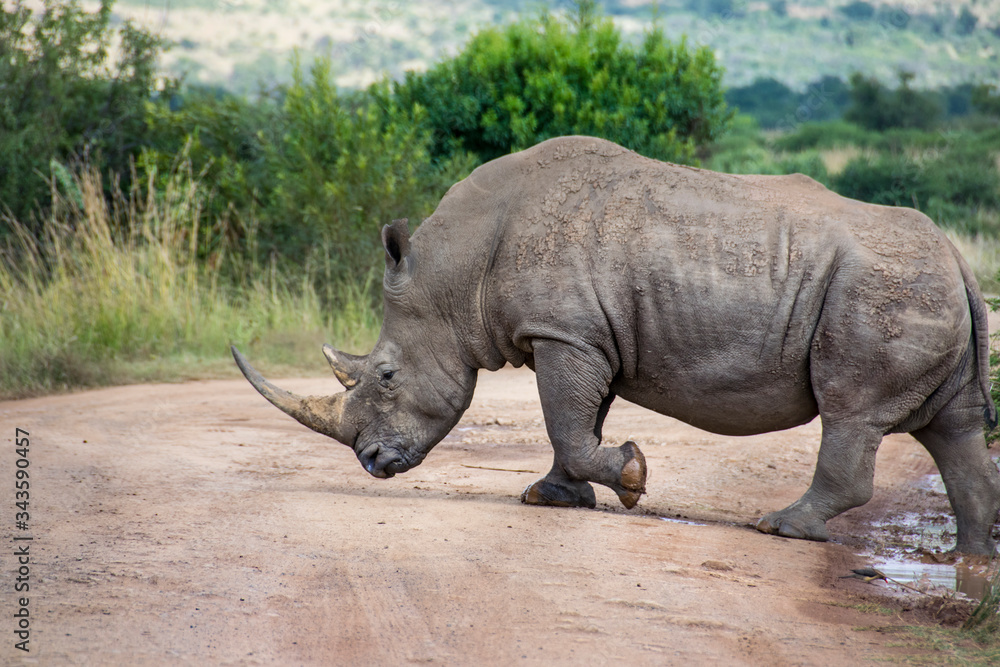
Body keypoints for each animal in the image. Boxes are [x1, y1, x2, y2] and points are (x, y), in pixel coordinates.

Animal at [232, 136, 1000, 554]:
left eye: (387, 375)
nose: (371, 463)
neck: (455, 276)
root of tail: (959, 258)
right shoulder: (582, 334)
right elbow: (578, 421)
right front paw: (551, 497)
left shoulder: (564, 331)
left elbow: (570, 424)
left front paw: (629, 477)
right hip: (923, 290)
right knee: (954, 430)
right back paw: (972, 560)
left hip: (884, 292)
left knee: (851, 413)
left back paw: (778, 527)